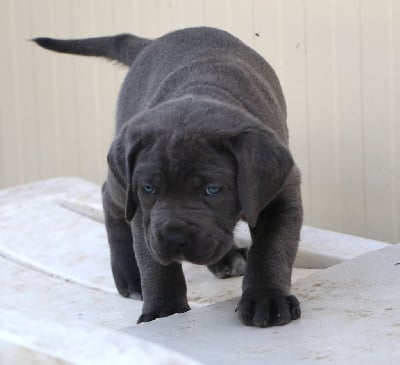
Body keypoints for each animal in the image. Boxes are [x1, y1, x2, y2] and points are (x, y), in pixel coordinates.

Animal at [34, 27, 304, 326]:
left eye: (212, 190)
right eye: (149, 189)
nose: (174, 237)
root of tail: (151, 43)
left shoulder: (280, 197)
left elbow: (271, 250)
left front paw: (265, 299)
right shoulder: (143, 213)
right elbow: (155, 267)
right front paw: (163, 311)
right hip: (122, 183)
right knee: (108, 196)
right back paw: (129, 274)